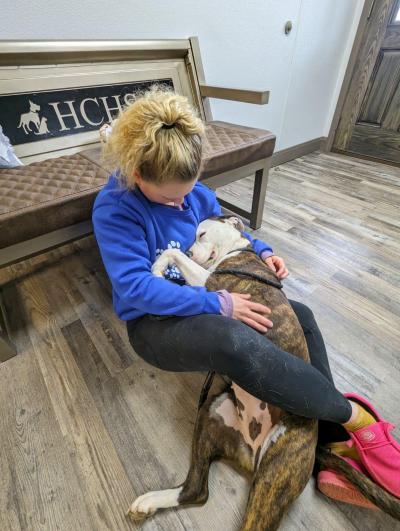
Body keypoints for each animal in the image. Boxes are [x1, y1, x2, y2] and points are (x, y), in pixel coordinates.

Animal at [127, 215, 400, 528]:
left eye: (202, 233)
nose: (192, 250)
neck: (237, 250)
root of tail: (250, 449)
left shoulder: (211, 281)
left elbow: (174, 254)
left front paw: (157, 268)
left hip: (275, 474)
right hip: (212, 413)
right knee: (197, 490)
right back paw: (149, 503)